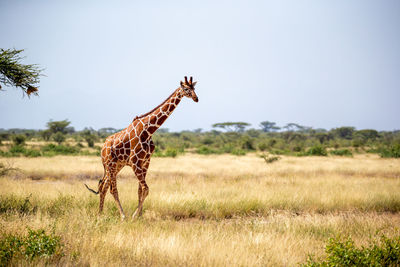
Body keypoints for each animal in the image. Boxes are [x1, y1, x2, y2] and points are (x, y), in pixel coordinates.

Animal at [85, 76, 198, 221]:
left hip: (116, 166)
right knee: (112, 189)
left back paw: (100, 214)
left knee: (103, 186)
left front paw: (139, 215)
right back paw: (122, 216)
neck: (148, 130)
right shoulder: (135, 162)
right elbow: (146, 189)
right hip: (110, 164)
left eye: (194, 88)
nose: (196, 98)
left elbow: (140, 190)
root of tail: (102, 148)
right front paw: (134, 215)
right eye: (186, 89)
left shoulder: (145, 162)